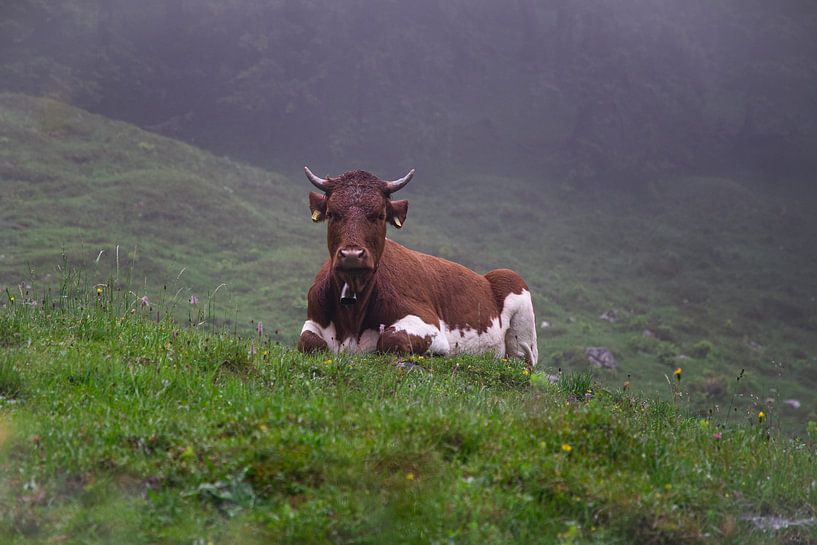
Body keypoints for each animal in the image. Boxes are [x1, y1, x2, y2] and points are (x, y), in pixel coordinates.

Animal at [296, 167, 540, 366]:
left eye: (380, 215)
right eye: (331, 214)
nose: (352, 255)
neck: (351, 320)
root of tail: (486, 277)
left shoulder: (430, 325)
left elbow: (390, 338)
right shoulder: (313, 319)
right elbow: (308, 342)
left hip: (516, 301)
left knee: (521, 359)